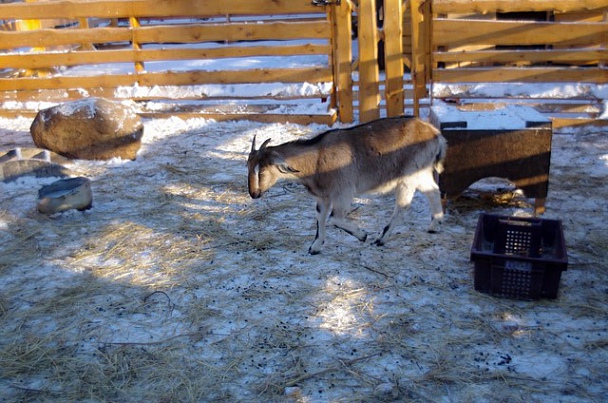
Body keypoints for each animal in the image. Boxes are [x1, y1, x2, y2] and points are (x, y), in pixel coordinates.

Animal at [247, 117, 446, 256]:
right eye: (248, 166)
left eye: (262, 171)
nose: (254, 193)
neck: (317, 158)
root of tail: (435, 134)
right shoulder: (324, 196)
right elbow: (320, 217)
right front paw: (315, 247)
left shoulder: (343, 191)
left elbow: (334, 219)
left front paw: (362, 235)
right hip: (422, 171)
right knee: (433, 191)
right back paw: (434, 225)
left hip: (409, 174)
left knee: (403, 206)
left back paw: (381, 238)